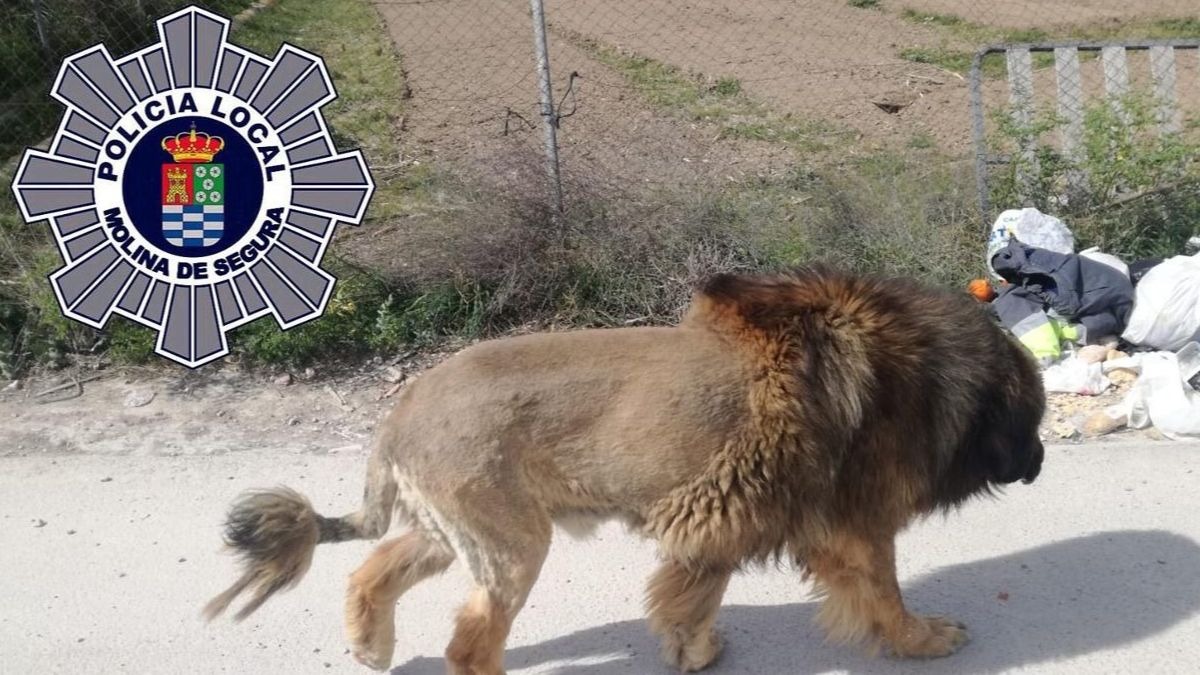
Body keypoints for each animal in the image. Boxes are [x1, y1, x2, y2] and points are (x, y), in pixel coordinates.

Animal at [204, 267, 1045, 674]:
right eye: (1034, 418)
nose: (1041, 462)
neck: (921, 374)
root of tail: (400, 409)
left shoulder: (724, 519)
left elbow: (691, 598)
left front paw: (693, 652)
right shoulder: (851, 525)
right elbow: (885, 597)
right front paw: (925, 639)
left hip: (456, 532)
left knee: (370, 571)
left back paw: (369, 647)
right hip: (512, 544)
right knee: (469, 646)